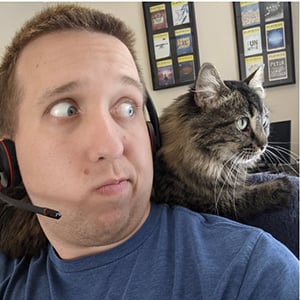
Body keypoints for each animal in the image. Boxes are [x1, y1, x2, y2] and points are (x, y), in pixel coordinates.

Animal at [154, 62, 292, 220]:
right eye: (242, 123)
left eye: (264, 123)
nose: (264, 145)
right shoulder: (212, 205)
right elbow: (249, 197)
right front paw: (283, 184)